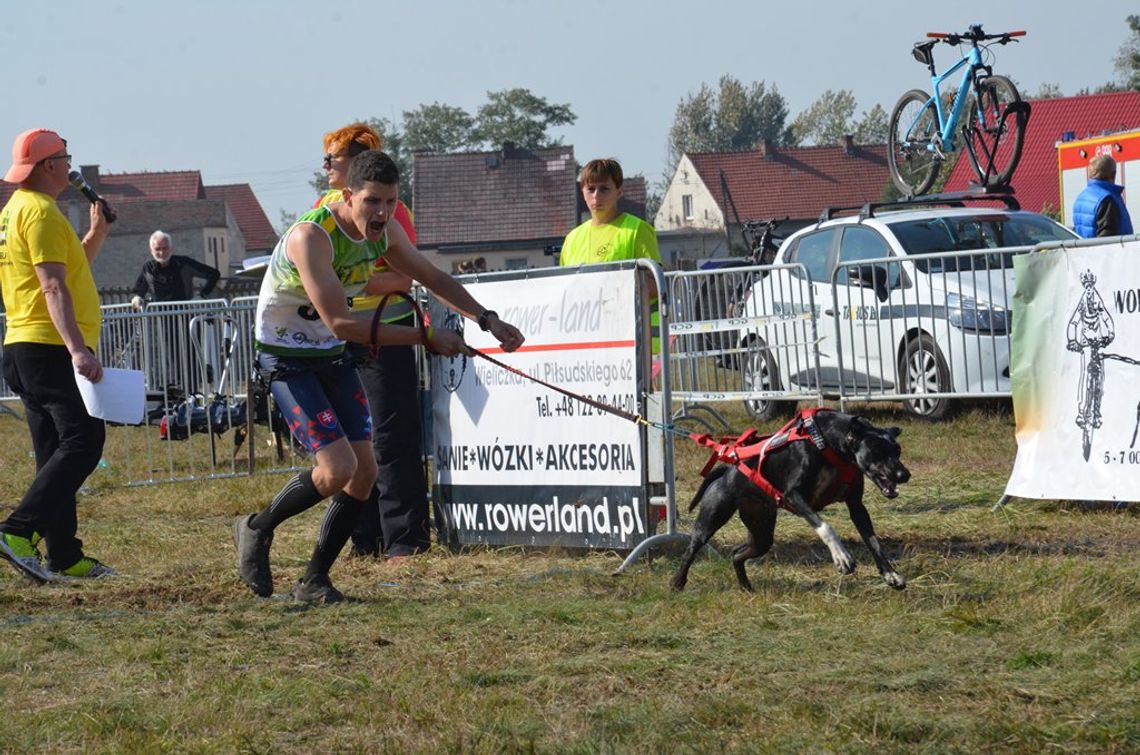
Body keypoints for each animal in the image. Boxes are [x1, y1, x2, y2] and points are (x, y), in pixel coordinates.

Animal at [670, 410, 912, 593]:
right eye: (877, 450)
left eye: (897, 450)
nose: (904, 474)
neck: (828, 445)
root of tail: (728, 468)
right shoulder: (794, 495)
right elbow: (826, 526)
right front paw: (841, 556)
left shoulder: (856, 506)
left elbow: (874, 542)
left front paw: (890, 574)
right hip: (711, 519)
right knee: (691, 549)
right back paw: (677, 583)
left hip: (762, 533)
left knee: (737, 554)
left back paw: (746, 587)